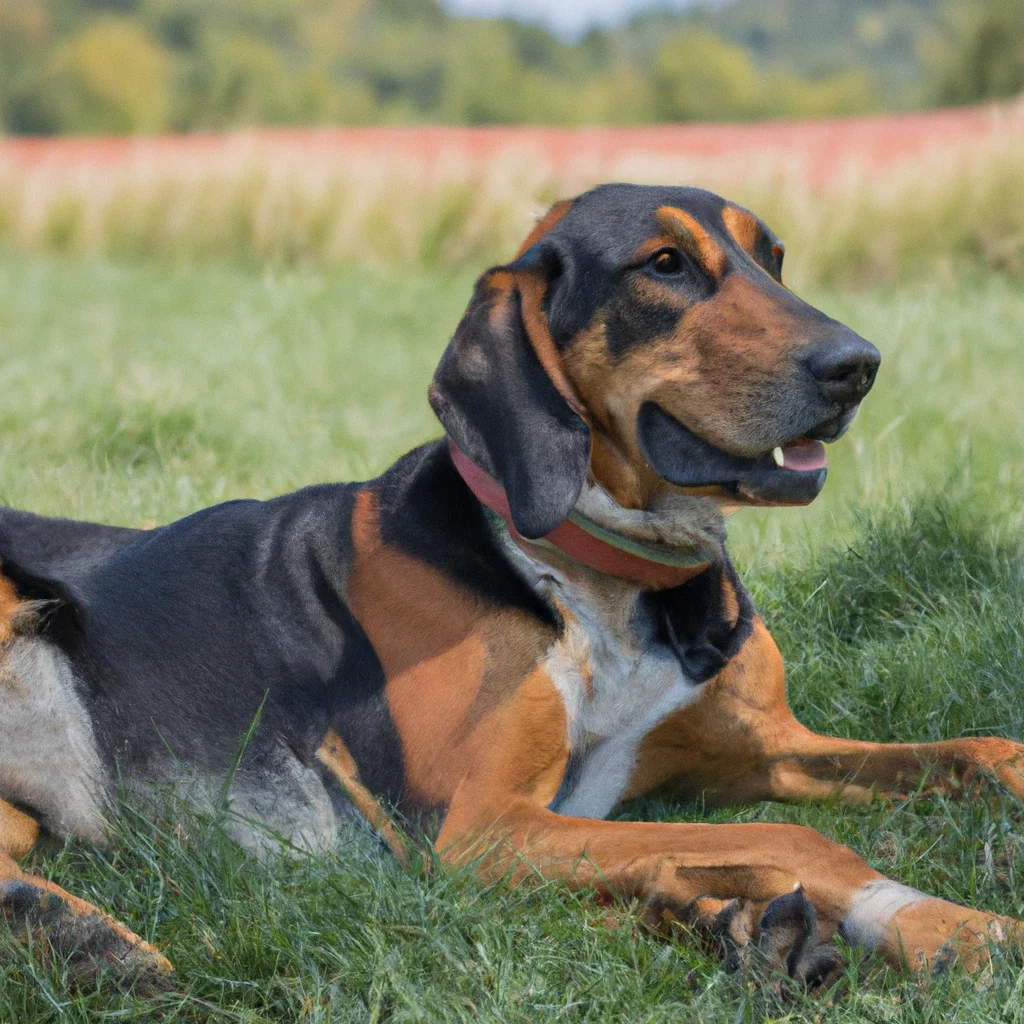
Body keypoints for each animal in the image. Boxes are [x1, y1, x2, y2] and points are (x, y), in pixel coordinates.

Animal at [2, 182, 1024, 983]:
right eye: (665, 266)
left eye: (772, 258)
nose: (859, 366)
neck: (612, 585)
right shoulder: (486, 825)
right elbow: (793, 839)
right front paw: (951, 926)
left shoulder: (765, 751)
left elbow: (976, 750)